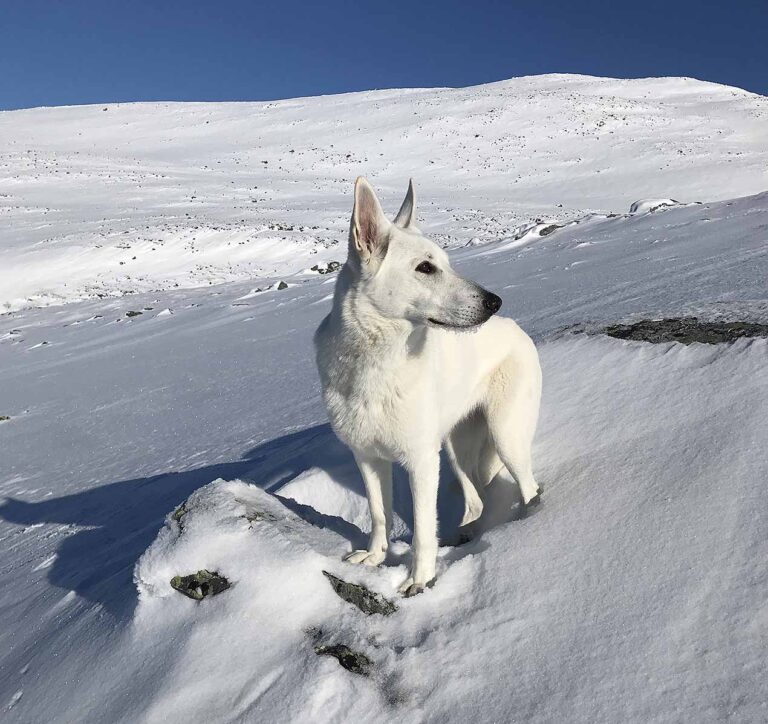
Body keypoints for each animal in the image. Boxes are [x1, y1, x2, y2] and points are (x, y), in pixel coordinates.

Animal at [316, 178, 544, 596]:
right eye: (425, 268)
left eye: (446, 262)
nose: (495, 301)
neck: (376, 362)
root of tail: (517, 329)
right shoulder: (367, 457)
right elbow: (379, 514)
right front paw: (375, 557)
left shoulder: (421, 460)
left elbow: (423, 529)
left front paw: (419, 579)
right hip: (455, 448)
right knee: (475, 500)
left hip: (505, 435)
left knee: (528, 486)